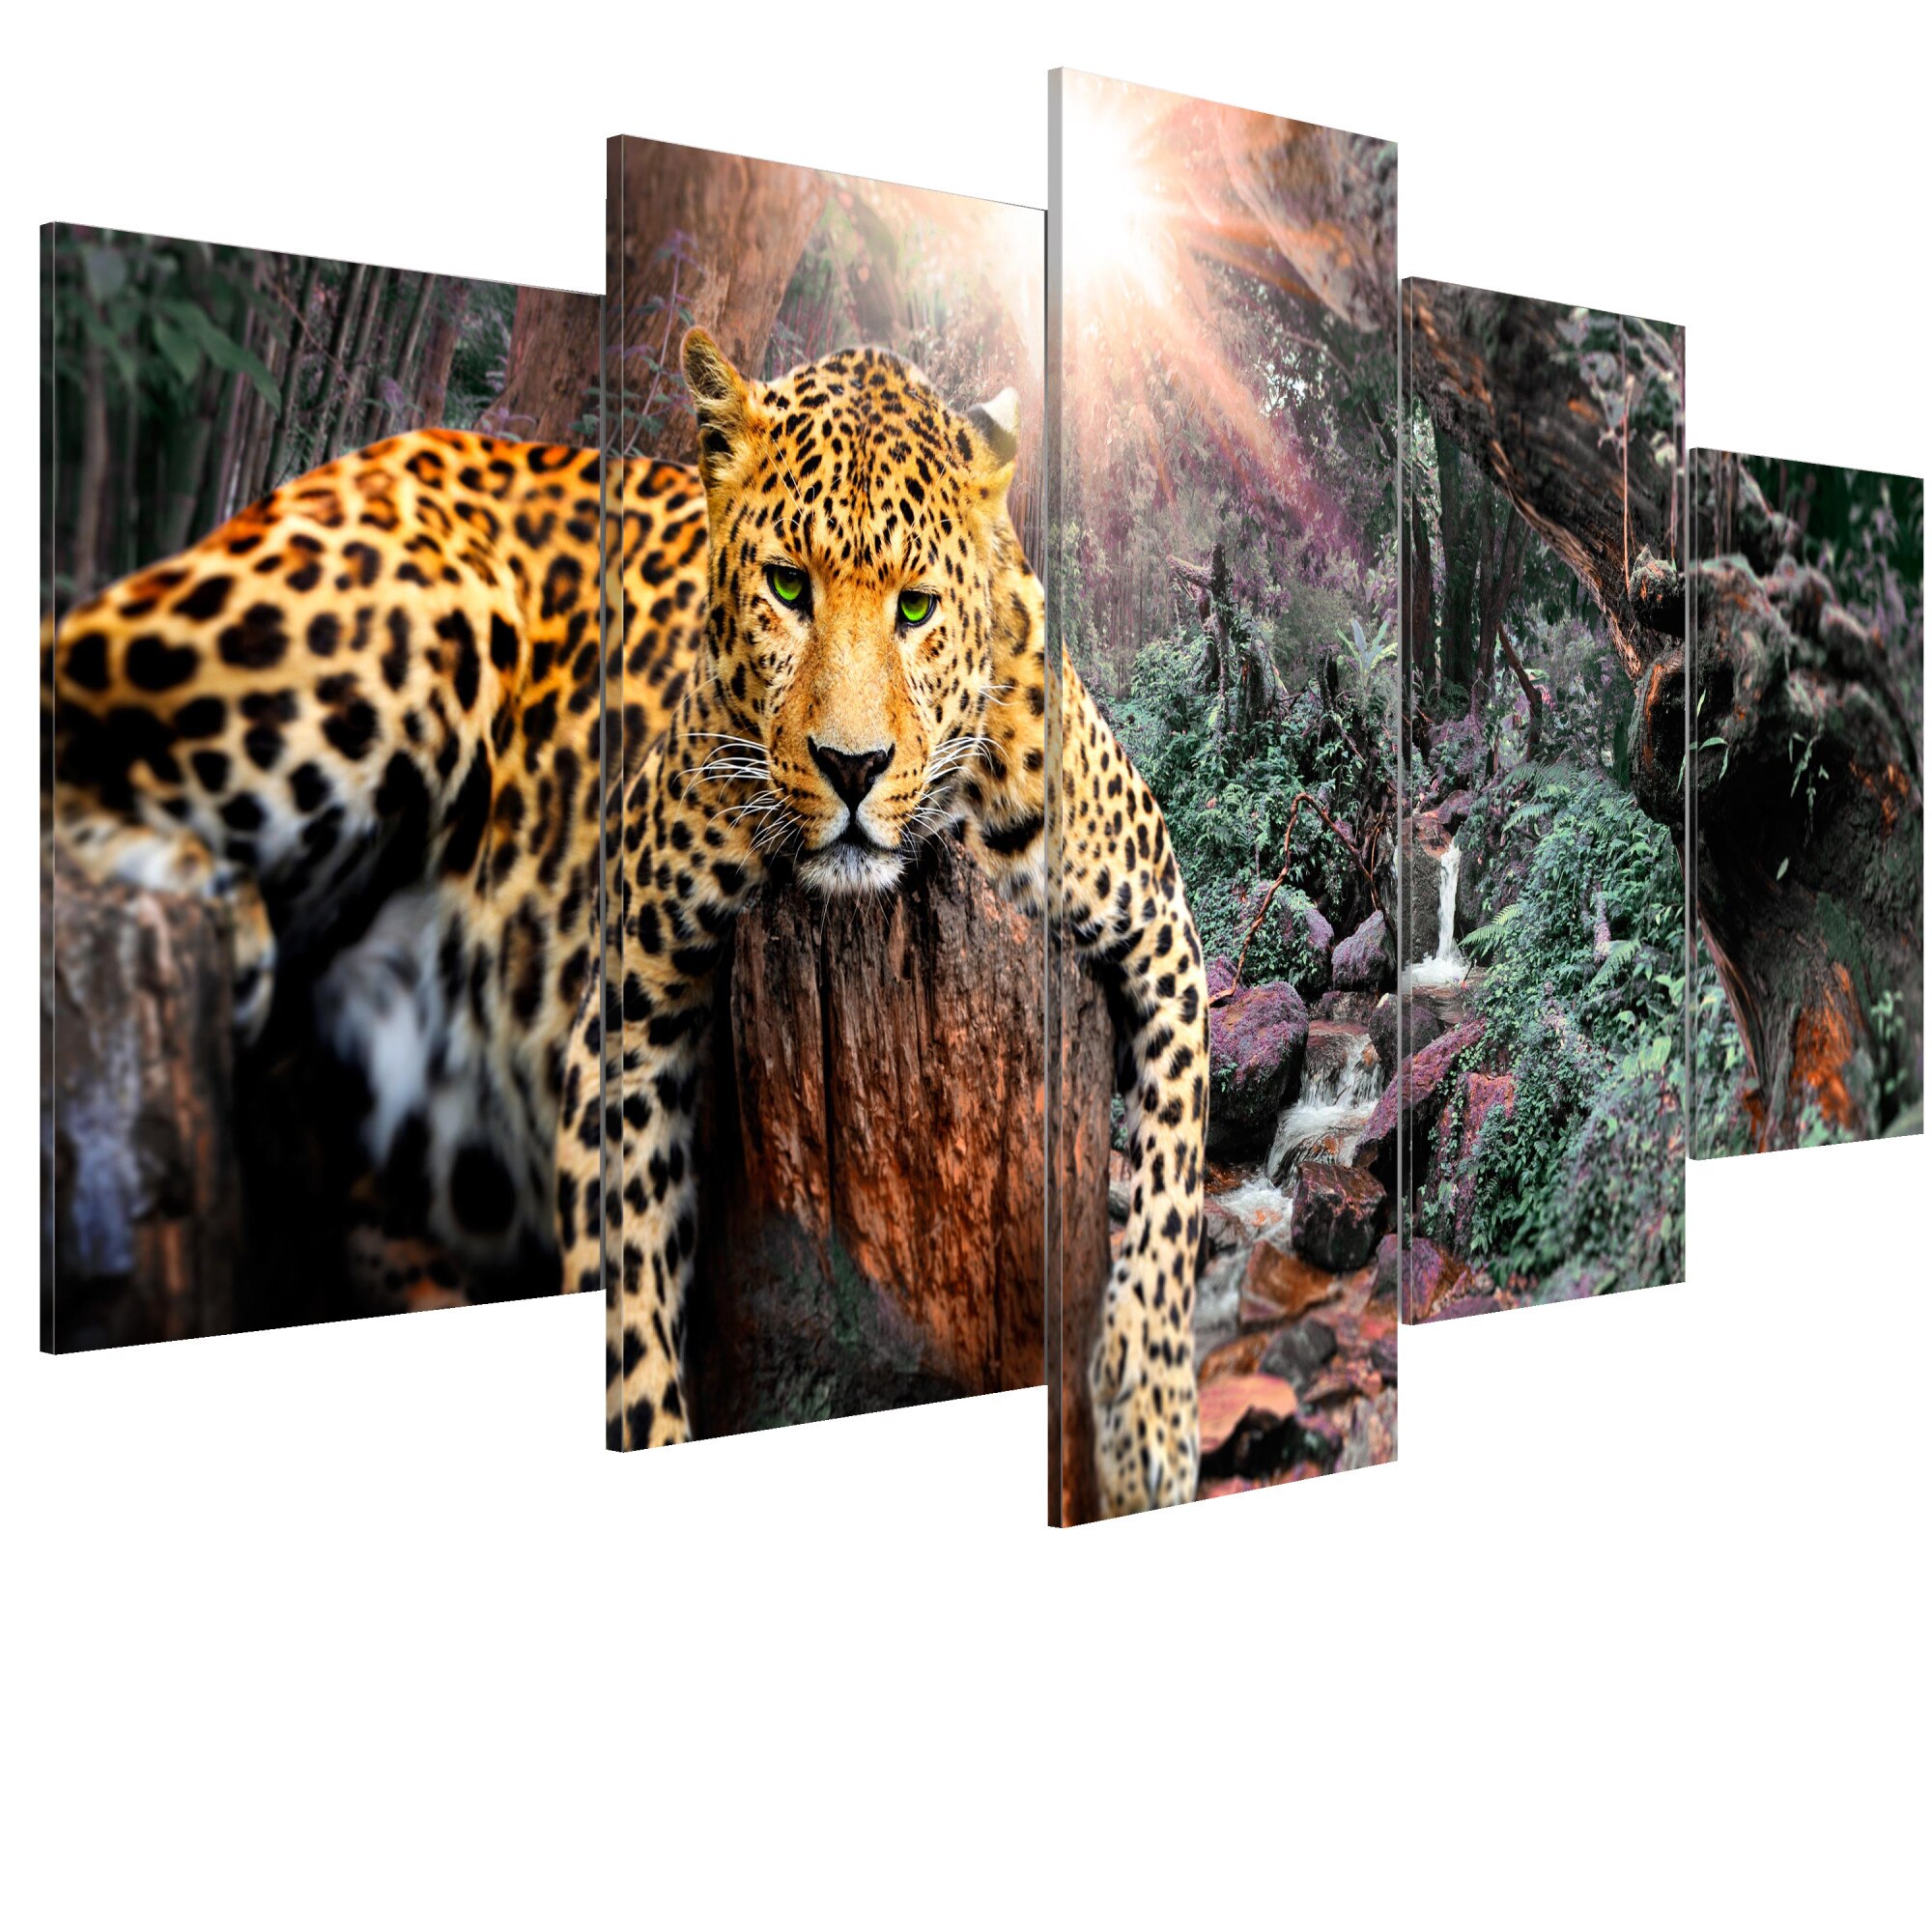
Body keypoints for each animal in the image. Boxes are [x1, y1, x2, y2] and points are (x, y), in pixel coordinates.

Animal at [46, 329, 1208, 1515]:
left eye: (917, 607)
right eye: (787, 585)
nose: (852, 766)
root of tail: (385, 450)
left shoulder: (1161, 928)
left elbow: (1173, 1181)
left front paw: (1150, 1423)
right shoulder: (624, 1012)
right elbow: (627, 1314)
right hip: (386, 627)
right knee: (64, 703)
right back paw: (210, 899)